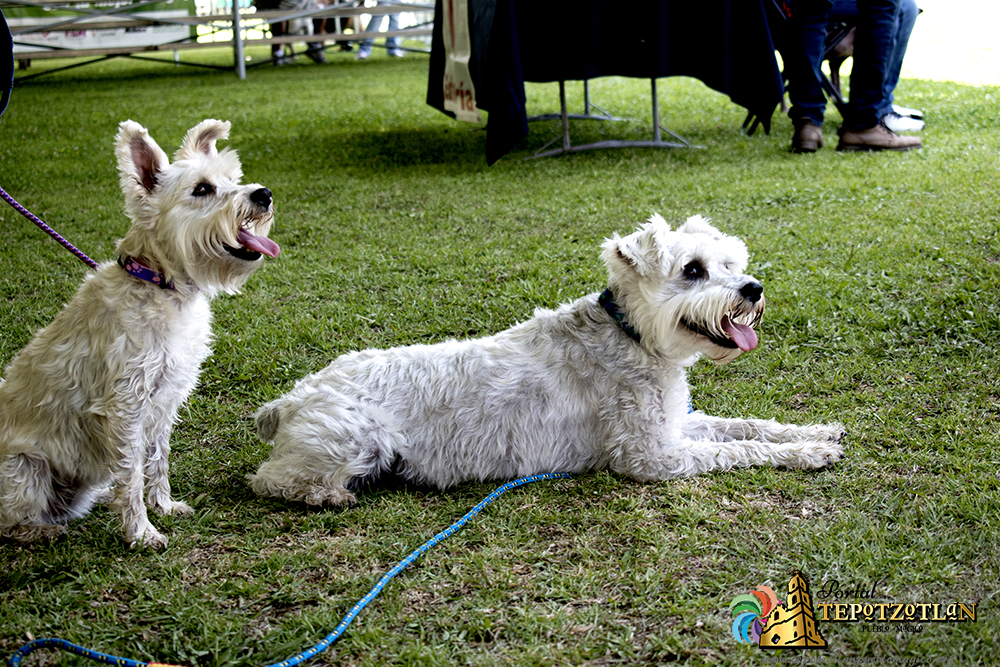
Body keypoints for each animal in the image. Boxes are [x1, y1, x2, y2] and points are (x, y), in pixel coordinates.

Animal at [250, 215, 844, 506]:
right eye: (693, 270)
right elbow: (736, 450)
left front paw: (815, 433)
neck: (632, 336)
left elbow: (745, 426)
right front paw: (807, 454)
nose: (753, 288)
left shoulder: (675, 425)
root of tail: (289, 400)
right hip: (351, 440)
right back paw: (327, 496)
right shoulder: (651, 456)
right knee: (269, 480)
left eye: (730, 263)